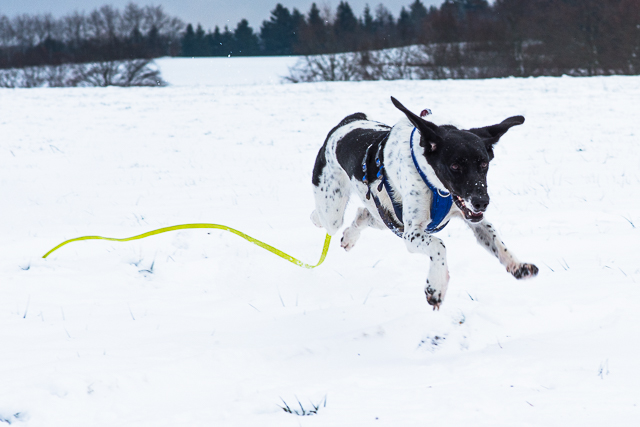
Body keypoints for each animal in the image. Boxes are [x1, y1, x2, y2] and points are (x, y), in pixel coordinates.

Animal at [310, 97, 536, 310]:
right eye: (455, 166)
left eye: (483, 163)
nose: (482, 202)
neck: (438, 189)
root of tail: (349, 121)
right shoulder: (412, 233)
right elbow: (439, 245)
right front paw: (436, 286)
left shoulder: (470, 218)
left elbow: (494, 238)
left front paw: (517, 265)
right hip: (333, 210)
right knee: (322, 217)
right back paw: (319, 220)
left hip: (386, 216)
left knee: (363, 214)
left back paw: (350, 236)